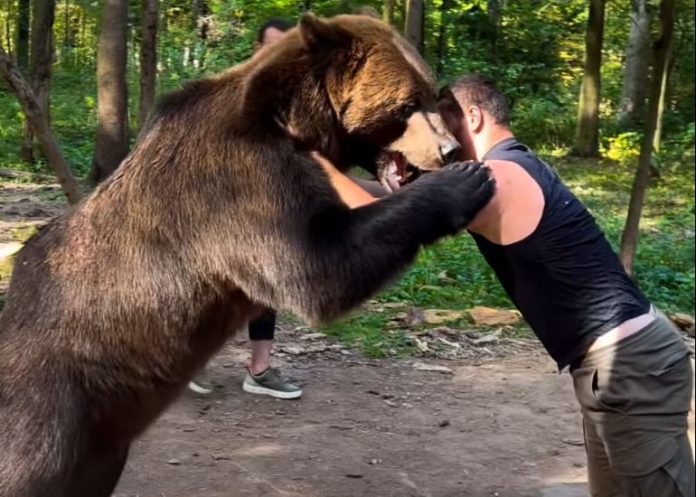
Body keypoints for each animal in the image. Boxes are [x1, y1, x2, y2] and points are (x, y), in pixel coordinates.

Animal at [0, 12, 492, 496]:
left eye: (431, 93)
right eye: (407, 104)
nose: (449, 150)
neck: (292, 125)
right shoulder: (238, 183)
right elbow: (317, 267)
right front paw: (465, 183)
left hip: (101, 441)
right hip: (50, 407)